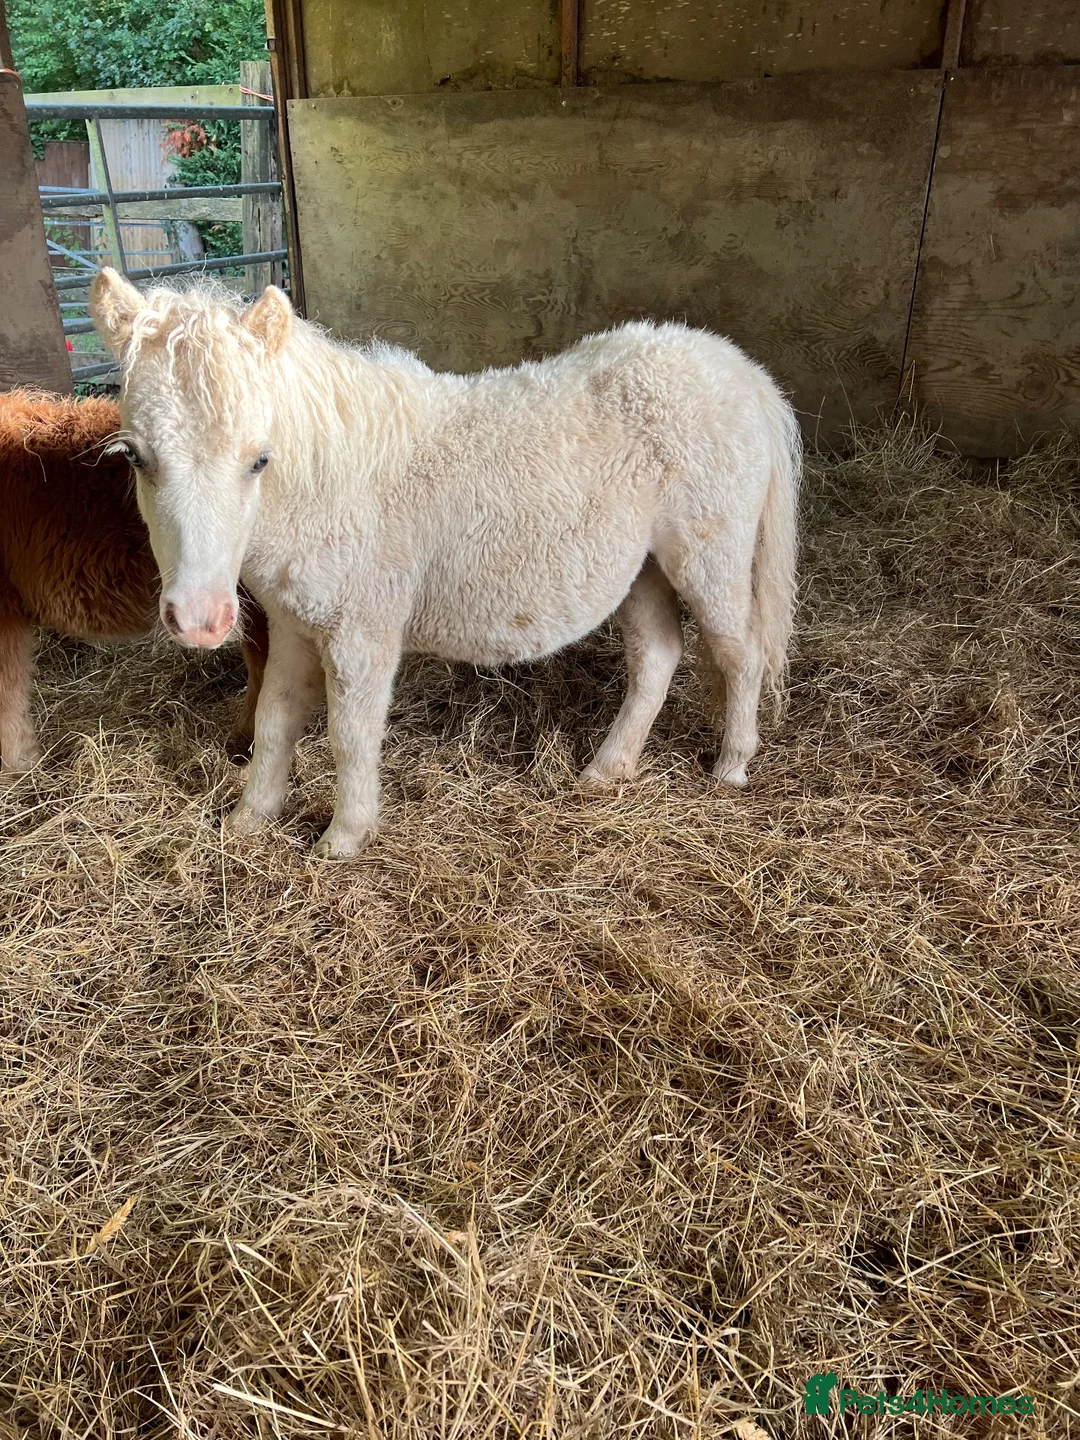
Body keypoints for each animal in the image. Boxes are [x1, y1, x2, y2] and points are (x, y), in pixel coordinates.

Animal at [90, 268, 800, 858]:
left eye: (259, 459)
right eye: (135, 457)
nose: (199, 619)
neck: (331, 479)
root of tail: (739, 370)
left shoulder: (361, 635)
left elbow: (351, 733)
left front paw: (343, 839)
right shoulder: (294, 626)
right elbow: (275, 717)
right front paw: (248, 819)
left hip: (711, 555)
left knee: (740, 653)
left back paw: (732, 765)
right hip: (643, 568)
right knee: (657, 655)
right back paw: (607, 769)